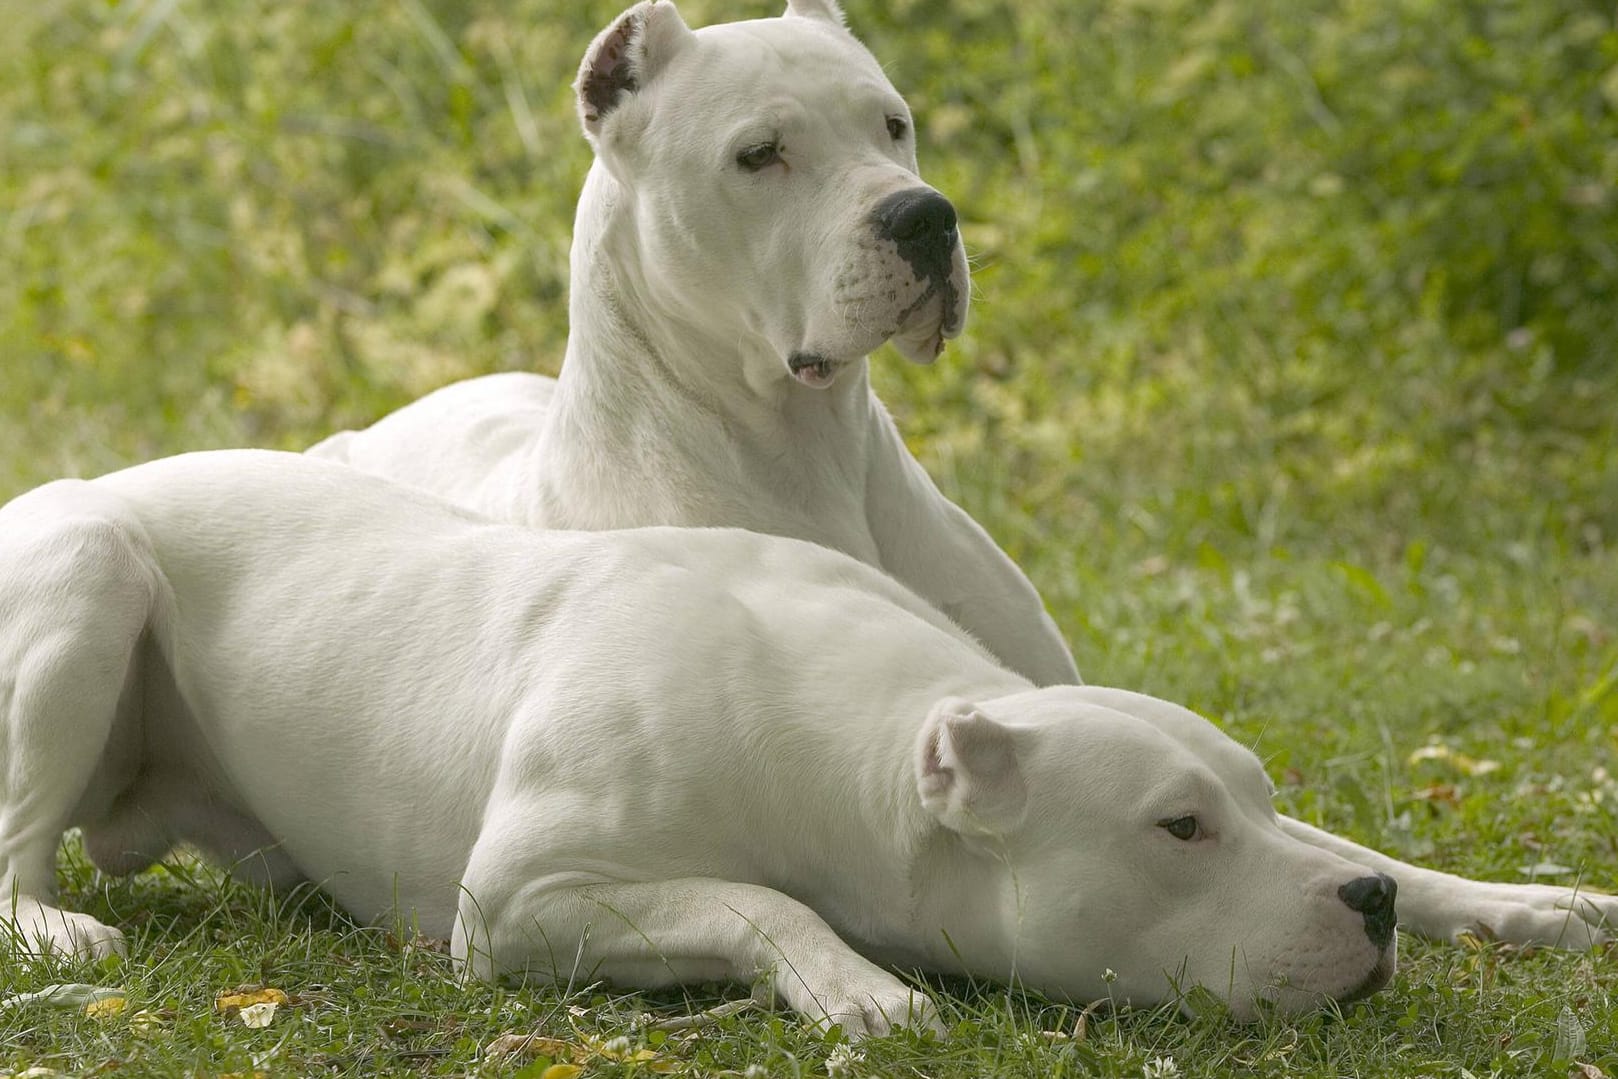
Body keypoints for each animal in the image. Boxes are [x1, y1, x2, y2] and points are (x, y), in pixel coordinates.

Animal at [0, 452, 1410, 1035]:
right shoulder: (520, 901)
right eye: (1179, 827)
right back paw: (59, 926)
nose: (1369, 900)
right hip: (88, 568)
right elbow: (759, 897)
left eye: (1257, 799)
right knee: (16, 854)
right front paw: (856, 985)